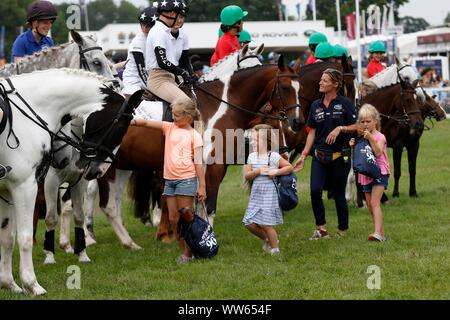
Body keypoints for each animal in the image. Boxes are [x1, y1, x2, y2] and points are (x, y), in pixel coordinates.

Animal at [0, 68, 141, 296]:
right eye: (121, 128)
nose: (99, 171)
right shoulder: (26, 186)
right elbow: (26, 236)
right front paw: (32, 284)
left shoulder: (7, 190)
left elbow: (7, 237)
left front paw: (9, 283)